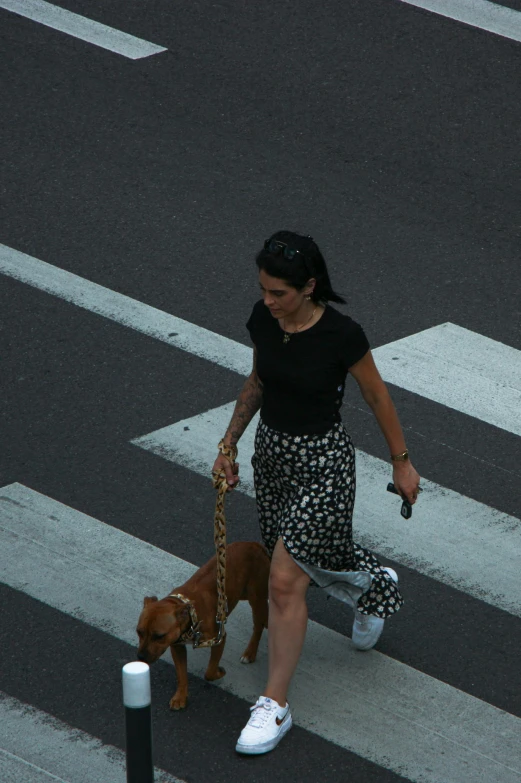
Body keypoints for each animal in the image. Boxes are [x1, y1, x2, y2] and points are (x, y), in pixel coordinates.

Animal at [136, 544, 268, 712]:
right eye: (138, 632)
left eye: (159, 636)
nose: (140, 657)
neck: (191, 616)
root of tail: (255, 544)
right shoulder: (177, 646)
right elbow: (181, 675)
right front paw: (180, 697)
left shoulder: (219, 638)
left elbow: (209, 671)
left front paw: (219, 672)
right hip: (243, 593)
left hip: (257, 598)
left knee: (259, 624)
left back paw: (250, 652)